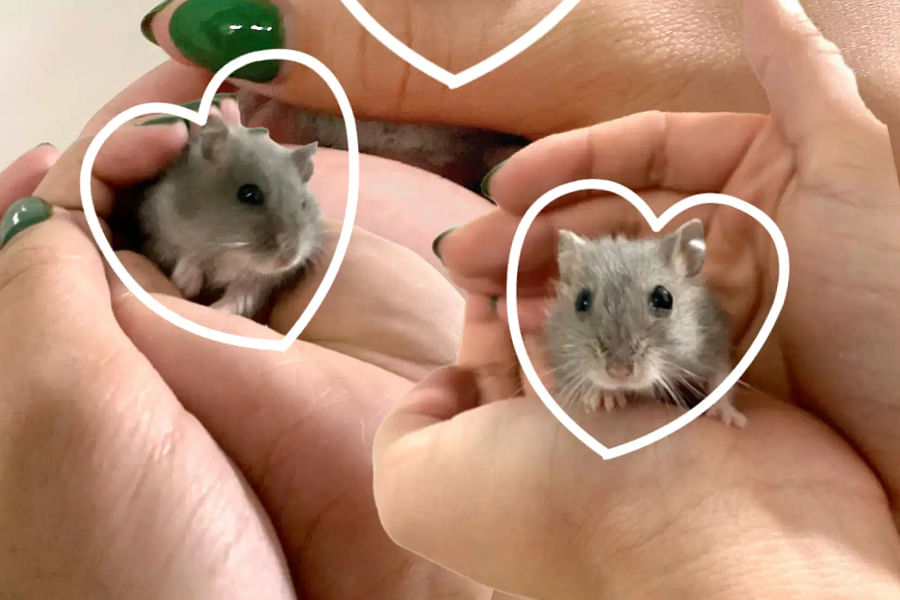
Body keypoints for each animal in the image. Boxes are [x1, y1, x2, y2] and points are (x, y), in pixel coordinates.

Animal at [132, 113, 321, 318]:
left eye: (303, 203)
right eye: (249, 194)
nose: (288, 261)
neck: (227, 251)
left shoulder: (260, 280)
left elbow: (243, 293)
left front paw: (217, 309)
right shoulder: (158, 229)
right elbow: (187, 253)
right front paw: (187, 286)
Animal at [544, 219, 747, 428]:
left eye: (663, 298)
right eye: (581, 301)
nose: (618, 372)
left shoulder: (714, 341)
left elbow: (720, 378)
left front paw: (732, 420)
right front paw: (605, 398)